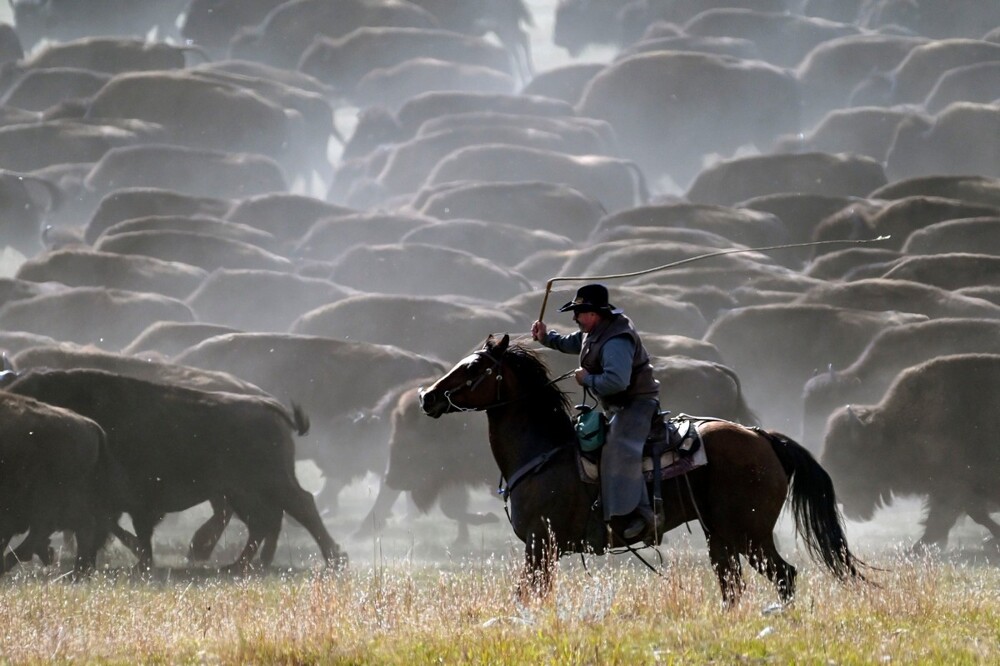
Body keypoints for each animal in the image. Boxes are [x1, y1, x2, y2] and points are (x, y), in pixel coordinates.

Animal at [418, 332, 864, 600]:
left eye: (473, 368)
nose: (428, 396)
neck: (545, 452)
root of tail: (762, 436)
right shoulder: (540, 549)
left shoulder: (539, 545)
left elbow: (527, 595)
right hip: (721, 534)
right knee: (732, 583)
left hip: (749, 533)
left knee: (783, 575)